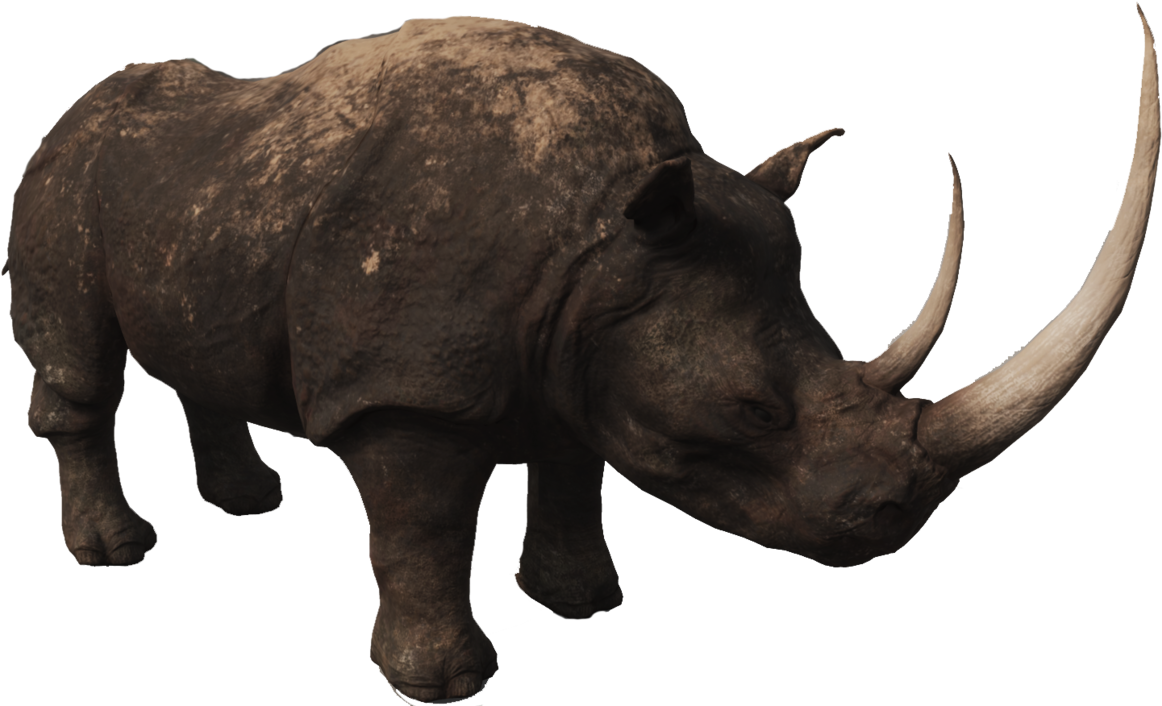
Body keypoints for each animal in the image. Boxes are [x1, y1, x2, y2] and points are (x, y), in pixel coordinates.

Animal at [8, 9, 1156, 704]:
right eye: (753, 409)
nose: (898, 519)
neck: (603, 243)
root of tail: (77, 105)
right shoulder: (407, 390)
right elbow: (421, 526)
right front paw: (441, 684)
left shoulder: (587, 356)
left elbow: (572, 476)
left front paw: (581, 605)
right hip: (69, 168)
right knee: (81, 354)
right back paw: (116, 553)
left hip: (212, 190)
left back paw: (248, 504)